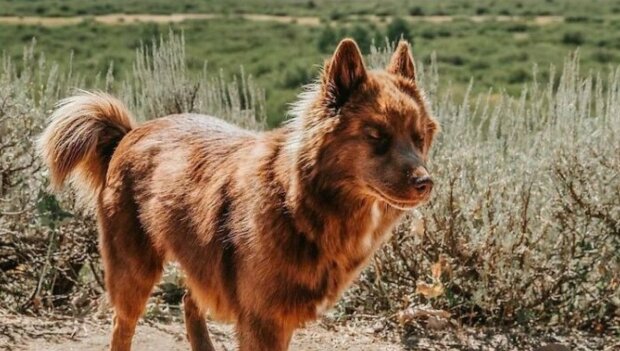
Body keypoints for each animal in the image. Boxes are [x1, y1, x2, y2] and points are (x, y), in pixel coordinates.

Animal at [38, 39, 438, 351]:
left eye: (418, 137)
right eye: (375, 136)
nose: (426, 183)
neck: (297, 202)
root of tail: (128, 135)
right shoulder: (264, 321)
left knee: (190, 299)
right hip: (133, 271)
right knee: (123, 326)